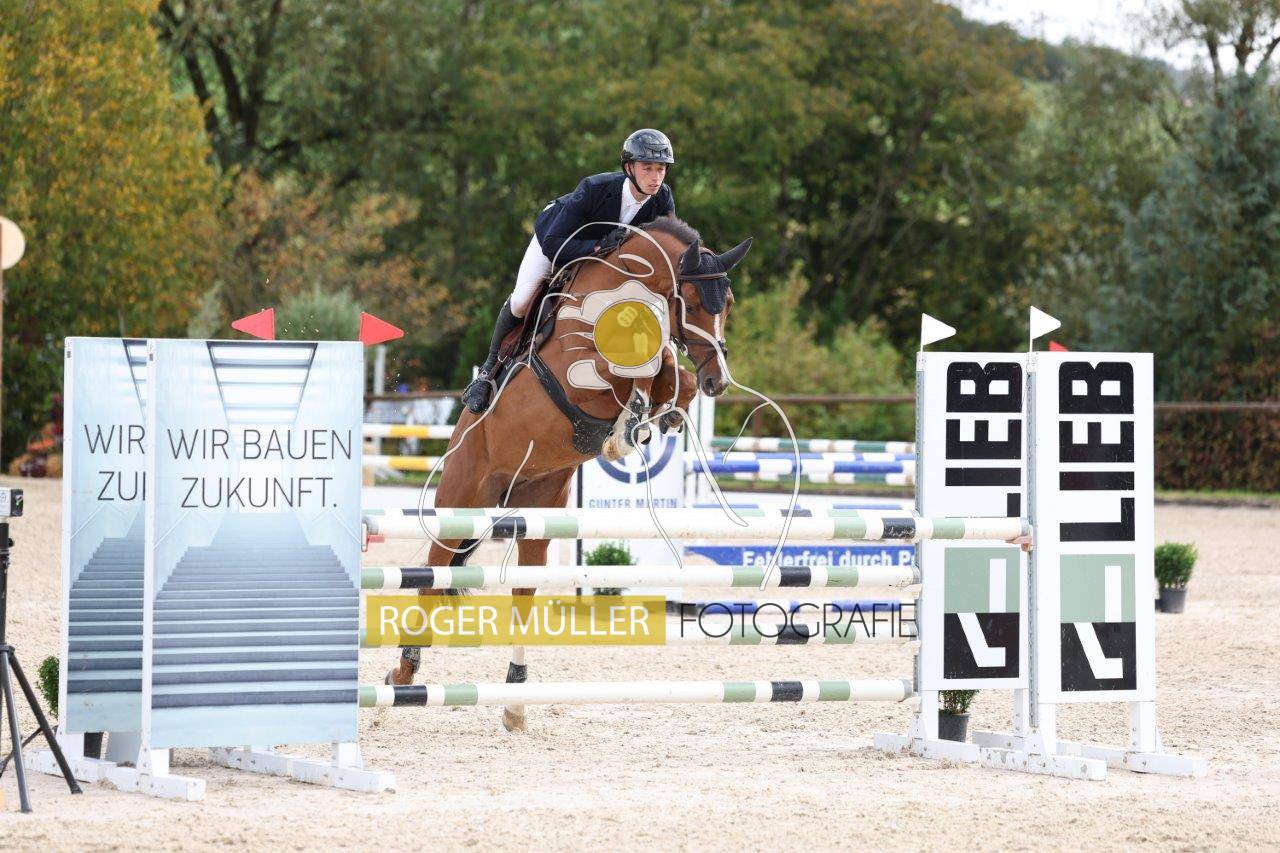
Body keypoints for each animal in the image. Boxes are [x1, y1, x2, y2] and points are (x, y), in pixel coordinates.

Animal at [384, 214, 752, 731]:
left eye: (729, 302)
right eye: (695, 300)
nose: (719, 378)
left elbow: (668, 369)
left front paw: (652, 418)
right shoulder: (579, 371)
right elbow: (638, 364)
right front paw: (632, 419)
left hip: (538, 515)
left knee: (522, 593)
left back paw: (515, 700)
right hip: (461, 500)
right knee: (432, 575)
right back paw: (404, 670)